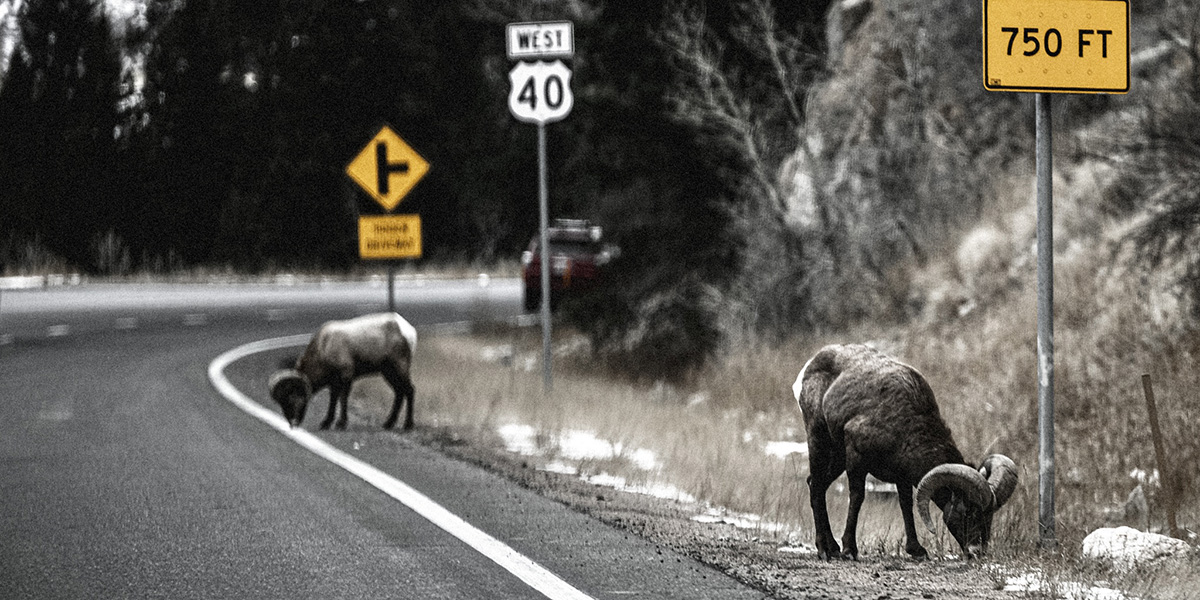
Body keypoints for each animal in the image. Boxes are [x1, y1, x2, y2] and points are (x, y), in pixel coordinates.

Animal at [269, 312, 417, 430]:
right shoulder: (334, 382)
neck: (324, 345)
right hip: (388, 372)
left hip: (399, 368)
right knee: (399, 392)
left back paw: (408, 425)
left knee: (409, 390)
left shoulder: (346, 376)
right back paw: (388, 424)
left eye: (291, 400)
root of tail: (408, 330)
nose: (293, 423)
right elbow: (333, 399)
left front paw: (341, 424)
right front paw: (326, 423)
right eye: (282, 403)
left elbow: (342, 398)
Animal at [792, 343, 1018, 560]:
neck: (904, 423)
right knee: (817, 487)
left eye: (989, 516)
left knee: (816, 485)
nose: (977, 551)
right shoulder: (856, 458)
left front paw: (917, 550)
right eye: (968, 512)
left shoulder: (901, 476)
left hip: (837, 457)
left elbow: (906, 504)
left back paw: (832, 548)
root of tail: (810, 366)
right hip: (820, 442)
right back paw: (825, 550)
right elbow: (857, 498)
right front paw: (850, 550)